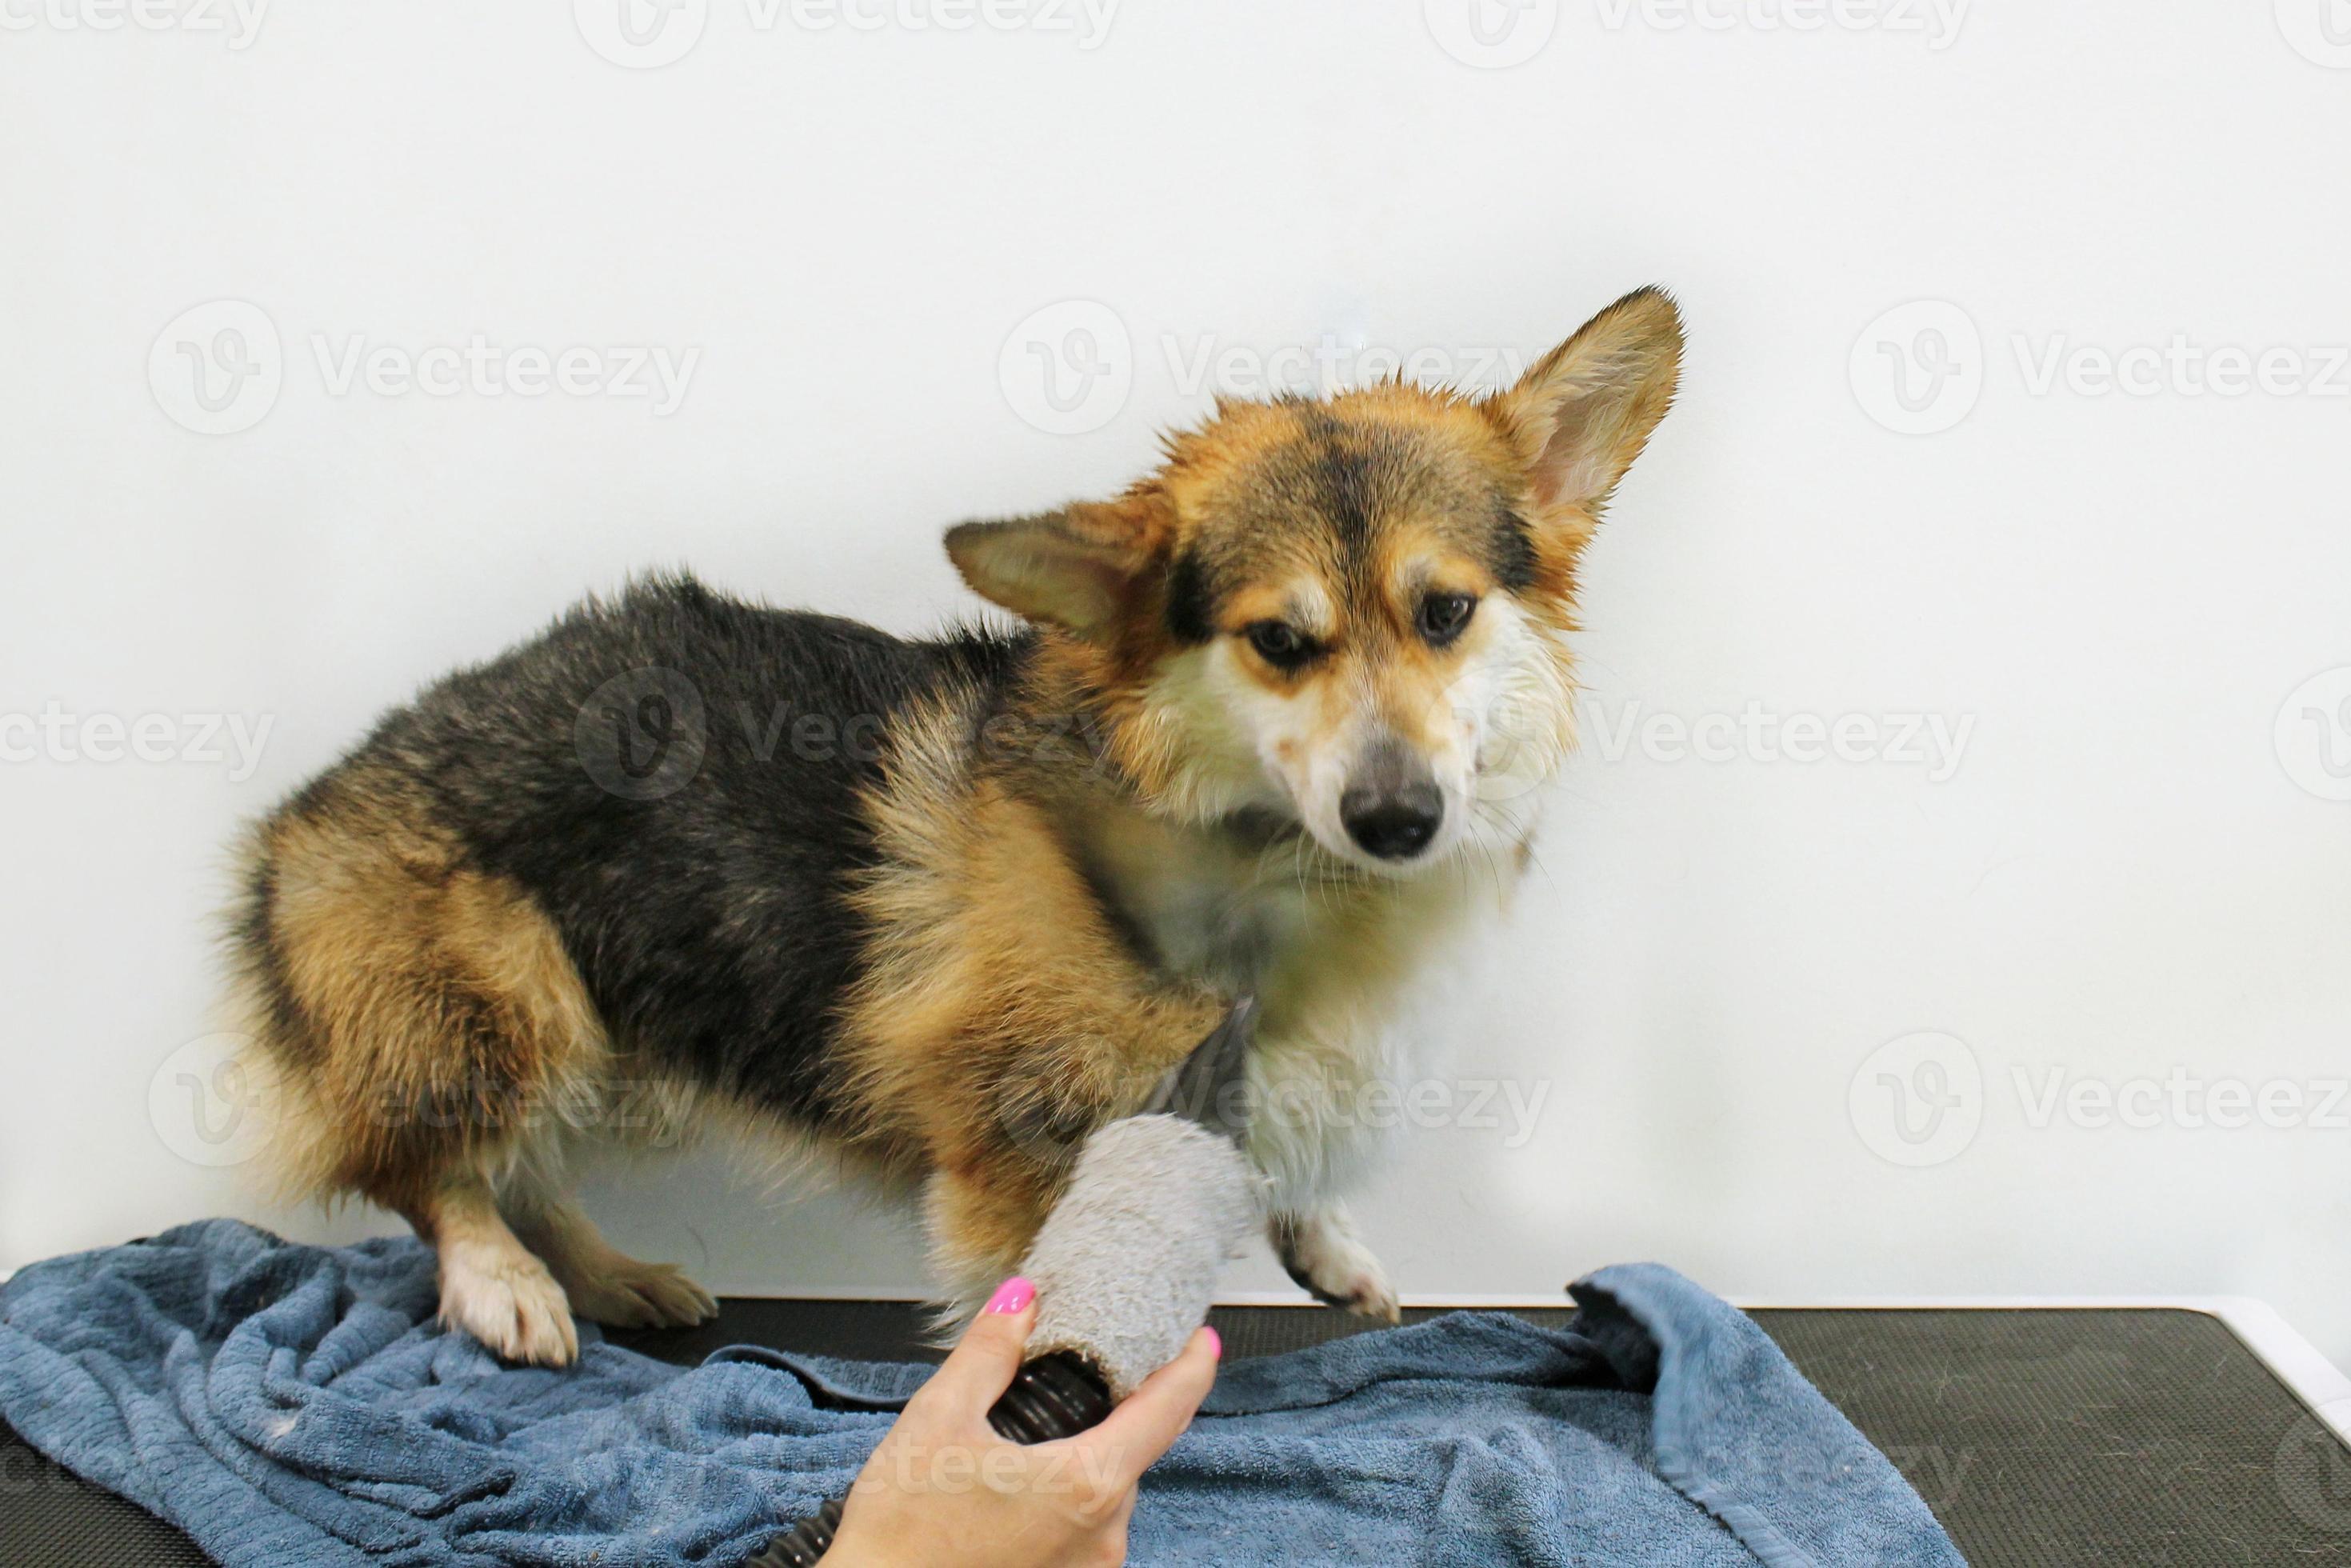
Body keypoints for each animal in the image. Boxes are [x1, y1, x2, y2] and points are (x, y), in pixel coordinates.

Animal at [221, 291, 1683, 1363]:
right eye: (1277, 642)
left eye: (1443, 613)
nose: (1396, 818)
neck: (1273, 874)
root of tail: (302, 807)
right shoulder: (1010, 1151)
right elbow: (1039, 1322)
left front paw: (1324, 1245)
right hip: (512, 1006)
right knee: (429, 1166)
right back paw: (507, 1285)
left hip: (620, 1034)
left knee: (520, 1168)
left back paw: (611, 1275)